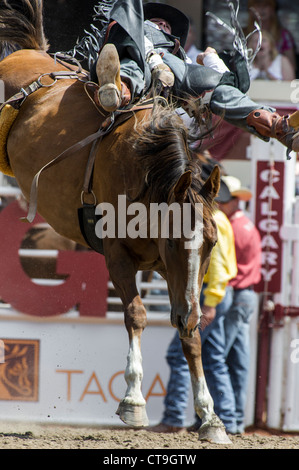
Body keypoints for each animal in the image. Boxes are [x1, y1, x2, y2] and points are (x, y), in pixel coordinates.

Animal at [0, 0, 230, 442]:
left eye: (212, 243)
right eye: (174, 240)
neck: (144, 171)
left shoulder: (171, 274)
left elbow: (190, 335)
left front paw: (211, 417)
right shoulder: (117, 255)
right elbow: (137, 313)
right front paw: (134, 402)